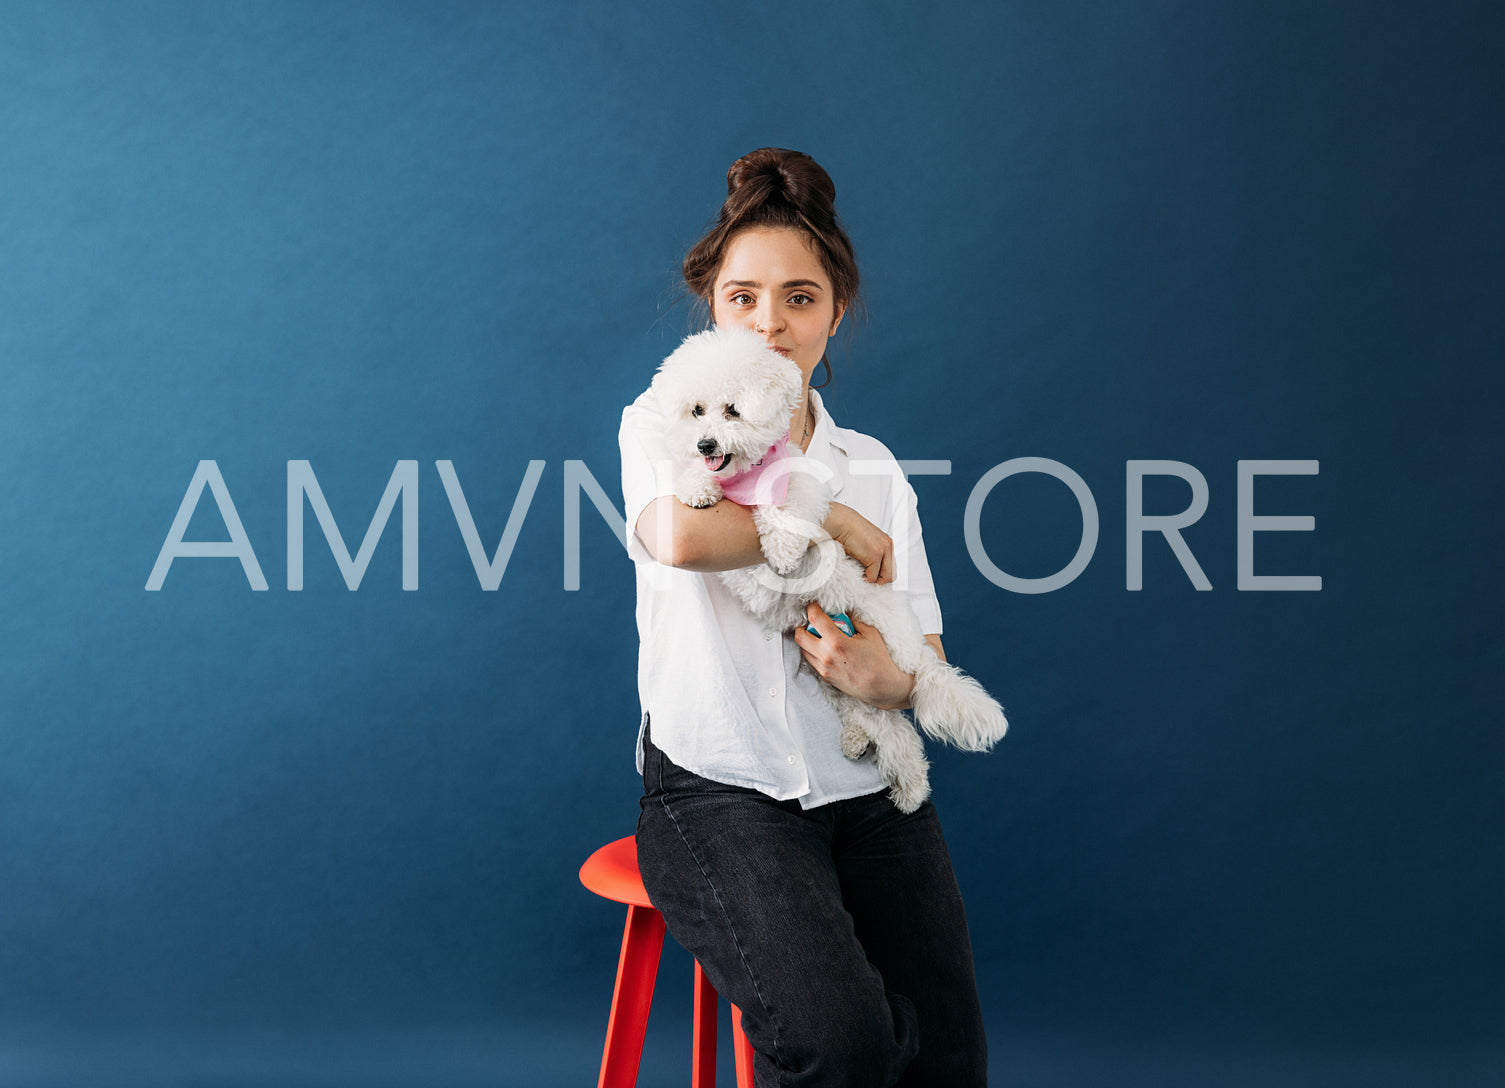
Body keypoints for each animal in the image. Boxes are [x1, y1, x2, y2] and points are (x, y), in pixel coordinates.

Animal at [653, 328, 1005, 812]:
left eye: (733, 410)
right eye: (696, 410)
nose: (705, 445)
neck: (744, 477)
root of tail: (920, 656)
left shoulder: (802, 489)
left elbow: (788, 511)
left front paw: (781, 548)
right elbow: (690, 485)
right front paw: (698, 488)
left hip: (886, 658)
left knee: (902, 726)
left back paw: (911, 788)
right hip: (836, 679)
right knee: (884, 725)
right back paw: (867, 748)